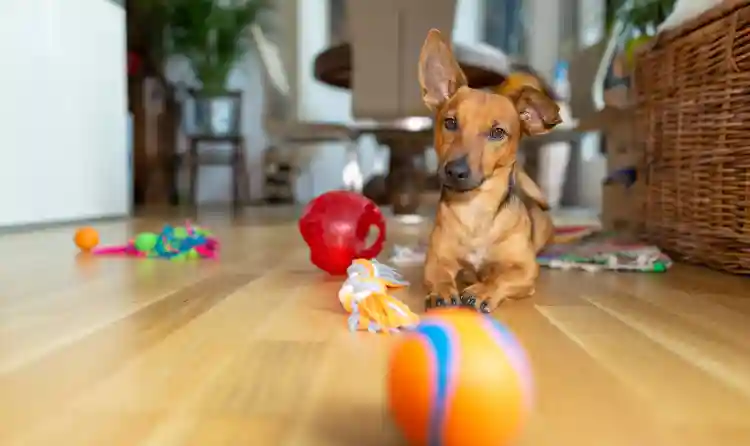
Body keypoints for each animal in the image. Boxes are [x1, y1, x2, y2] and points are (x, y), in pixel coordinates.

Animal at [420, 28, 560, 314]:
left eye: (497, 132)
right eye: (450, 122)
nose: (455, 171)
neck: (475, 209)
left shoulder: (525, 269)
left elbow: (502, 277)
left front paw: (483, 290)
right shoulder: (436, 259)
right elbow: (439, 275)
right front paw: (442, 290)